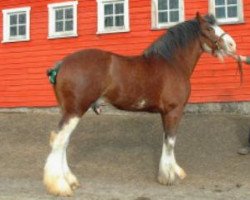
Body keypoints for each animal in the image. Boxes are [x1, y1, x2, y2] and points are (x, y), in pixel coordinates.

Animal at [43, 13, 236, 196]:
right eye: (209, 29)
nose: (232, 45)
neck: (172, 63)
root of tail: (61, 64)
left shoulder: (166, 113)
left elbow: (167, 139)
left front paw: (173, 171)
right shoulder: (174, 111)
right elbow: (170, 141)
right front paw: (168, 177)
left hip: (69, 111)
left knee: (64, 142)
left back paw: (70, 181)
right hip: (75, 111)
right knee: (59, 140)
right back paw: (60, 186)